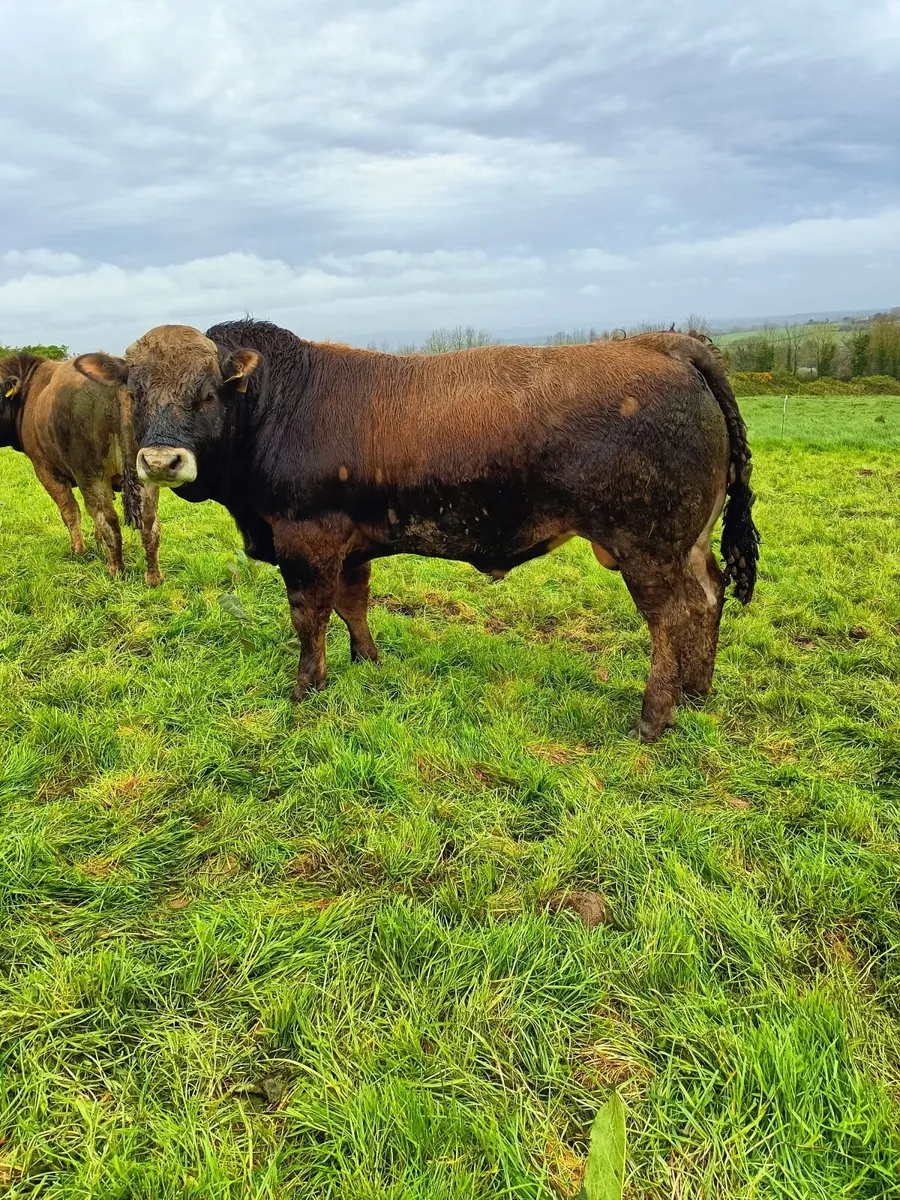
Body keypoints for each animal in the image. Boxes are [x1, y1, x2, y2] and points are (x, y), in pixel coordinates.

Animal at [0, 353, 162, 585]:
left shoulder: (46, 471)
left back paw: (116, 571)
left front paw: (79, 549)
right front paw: (98, 545)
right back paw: (153, 577)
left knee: (107, 519)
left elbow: (69, 511)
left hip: (91, 475)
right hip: (146, 474)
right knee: (149, 522)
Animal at [74, 320, 760, 740]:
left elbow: (309, 615)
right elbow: (354, 603)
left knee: (670, 618)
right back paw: (696, 691)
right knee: (709, 596)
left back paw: (654, 716)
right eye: (135, 389)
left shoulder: (307, 539)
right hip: (688, 541)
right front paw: (367, 661)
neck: (276, 404)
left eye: (209, 391)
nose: (161, 460)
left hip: (647, 545)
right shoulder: (349, 541)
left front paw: (307, 689)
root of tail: (667, 343)